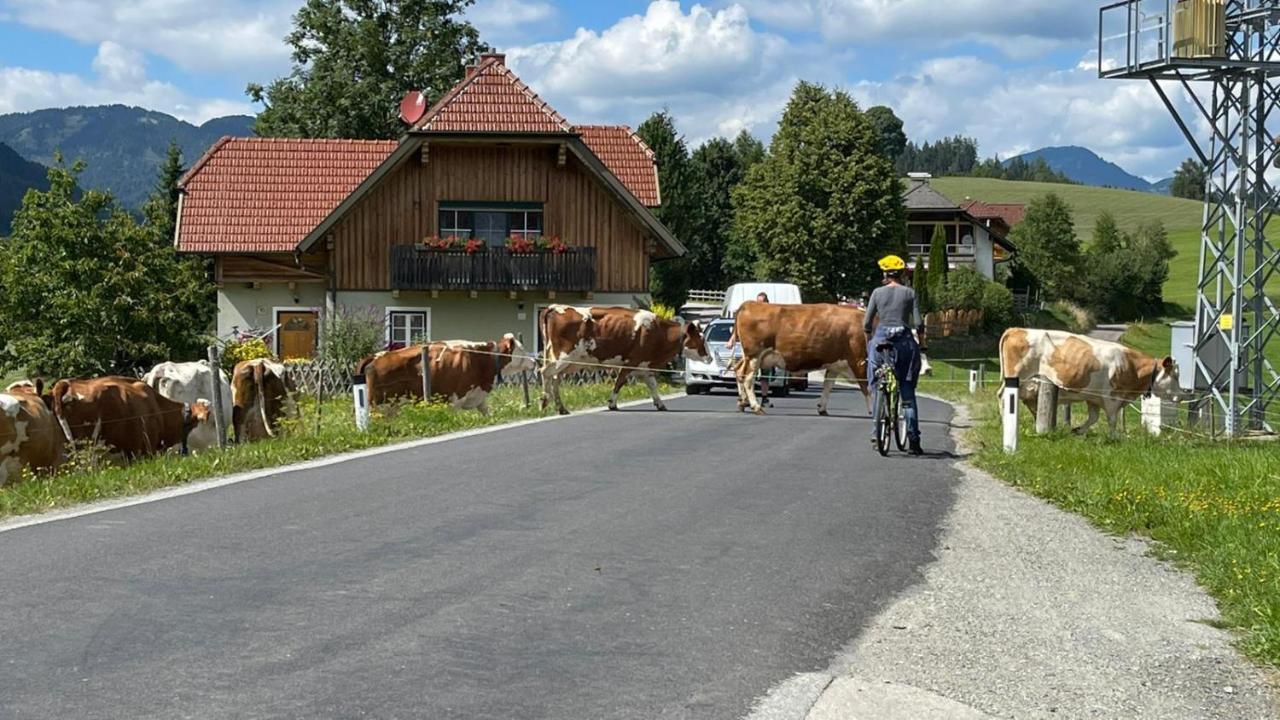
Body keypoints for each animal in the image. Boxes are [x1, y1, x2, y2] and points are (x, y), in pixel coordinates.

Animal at [358, 333, 537, 412]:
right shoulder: (456, 400)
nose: (535, 361)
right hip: (377, 405)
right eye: (521, 349)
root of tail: (375, 357)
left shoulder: (478, 397)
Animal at [537, 303, 711, 415]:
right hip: (564, 356)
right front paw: (612, 404)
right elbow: (619, 382)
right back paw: (544, 401)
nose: (709, 358)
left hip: (569, 361)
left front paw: (660, 403)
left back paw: (561, 408)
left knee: (555, 378)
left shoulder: (645, 365)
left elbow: (652, 385)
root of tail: (554, 307)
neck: (660, 332)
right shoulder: (632, 362)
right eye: (701, 339)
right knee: (545, 371)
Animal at [732, 299, 870, 415]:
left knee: (738, 371)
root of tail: (749, 303)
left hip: (749, 357)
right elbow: (866, 386)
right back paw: (756, 407)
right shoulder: (859, 361)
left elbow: (828, 385)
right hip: (754, 355)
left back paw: (742, 402)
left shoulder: (835, 364)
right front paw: (872, 411)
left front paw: (822, 408)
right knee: (747, 378)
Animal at [998, 327, 1177, 435]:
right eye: (1175, 376)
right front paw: (1114, 438)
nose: (1181, 393)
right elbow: (1112, 419)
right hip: (1018, 378)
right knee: (1003, 397)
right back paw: (1005, 421)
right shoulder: (1111, 397)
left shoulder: (1093, 398)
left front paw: (1077, 431)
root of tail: (1016, 329)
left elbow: (1093, 418)